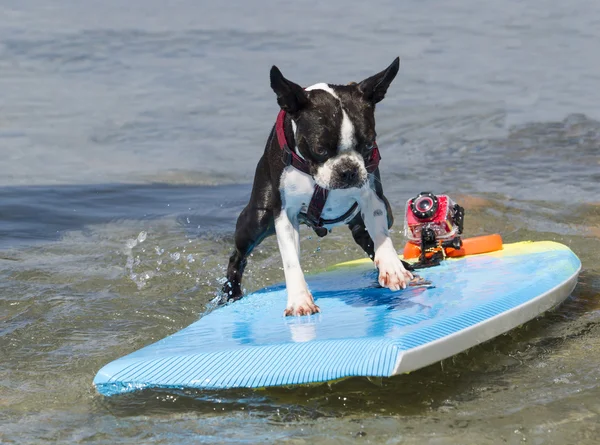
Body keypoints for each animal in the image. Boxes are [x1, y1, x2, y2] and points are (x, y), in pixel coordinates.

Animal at [224, 58, 412, 316]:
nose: (347, 170)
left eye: (368, 144)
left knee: (365, 236)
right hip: (257, 220)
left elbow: (381, 235)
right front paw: (299, 300)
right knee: (237, 257)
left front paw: (392, 267)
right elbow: (291, 260)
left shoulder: (372, 195)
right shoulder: (284, 214)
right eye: (320, 149)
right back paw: (231, 294)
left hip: (379, 213)